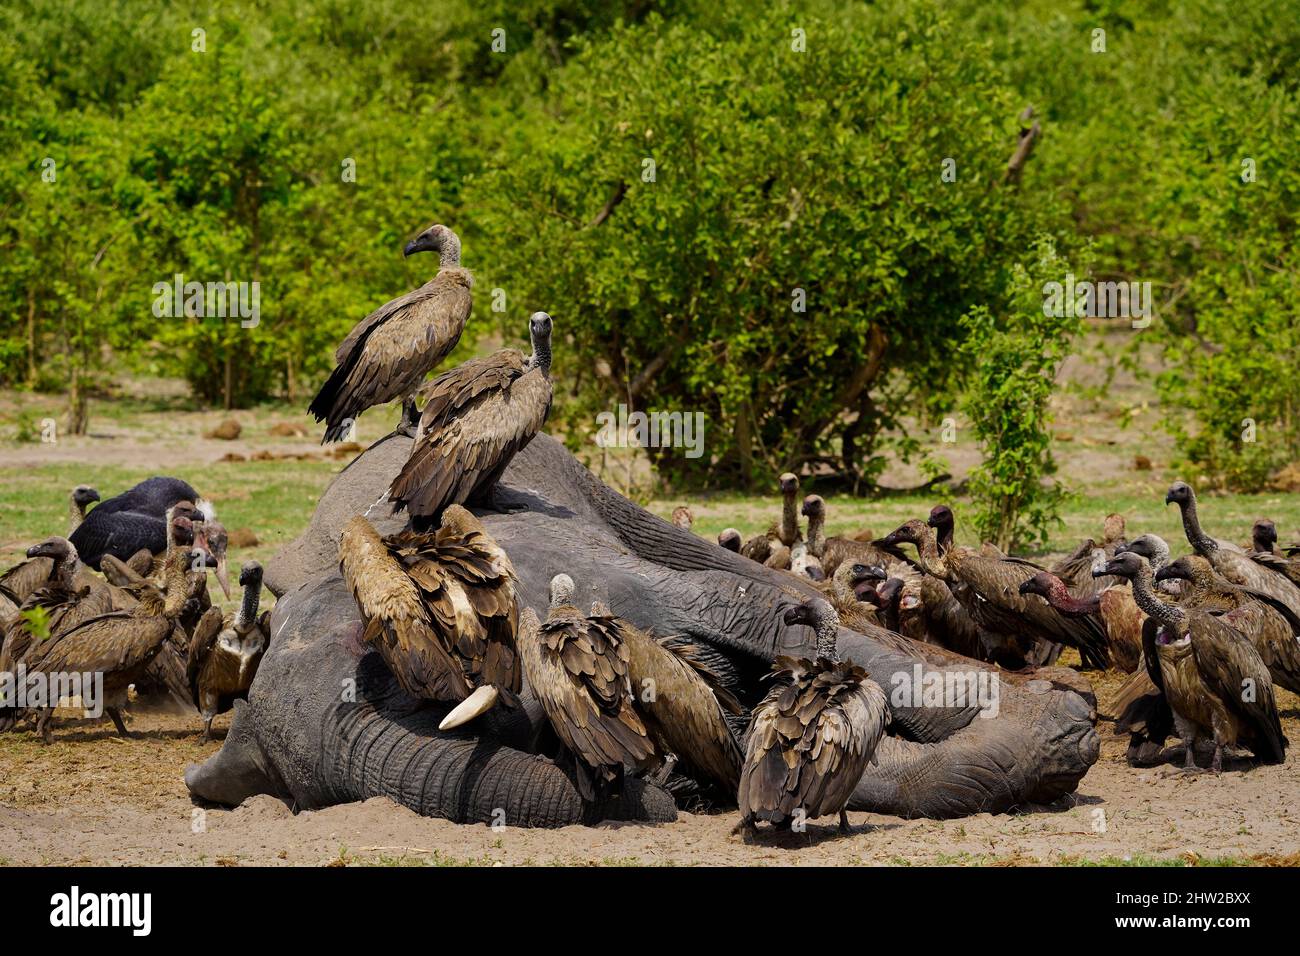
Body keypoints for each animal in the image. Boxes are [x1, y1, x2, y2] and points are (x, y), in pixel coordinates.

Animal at [185, 432, 1099, 827]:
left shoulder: (581, 563)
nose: (648, 789)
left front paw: (1060, 729)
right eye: (297, 790)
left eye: (402, 676)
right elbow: (764, 746)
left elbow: (757, 614)